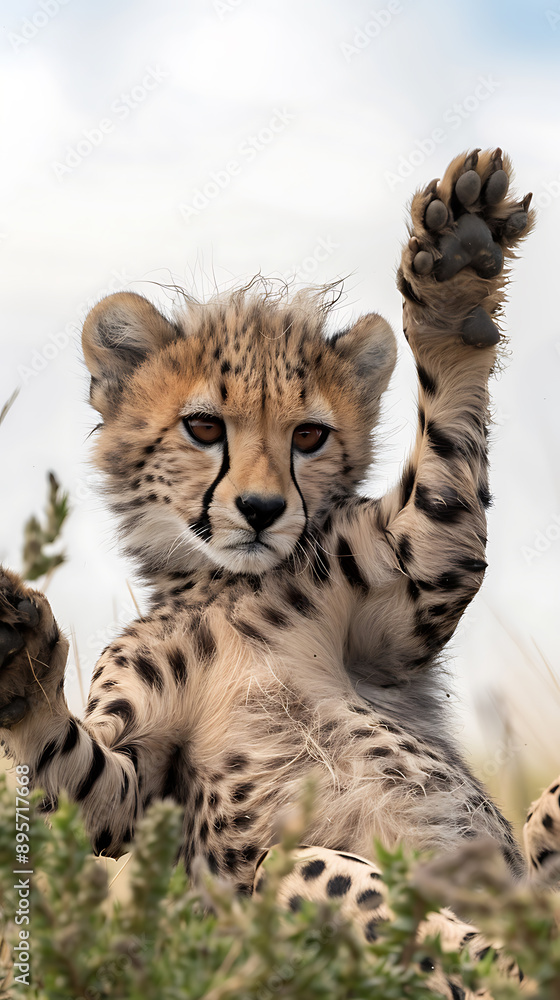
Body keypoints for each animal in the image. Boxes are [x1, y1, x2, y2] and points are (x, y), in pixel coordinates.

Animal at [0, 147, 556, 998]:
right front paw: (19, 658)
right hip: (293, 879)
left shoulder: (421, 573)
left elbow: (447, 452)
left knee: (531, 848)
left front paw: (456, 279)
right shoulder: (134, 788)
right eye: (203, 428)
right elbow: (75, 771)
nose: (261, 510)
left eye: (309, 436)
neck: (231, 589)